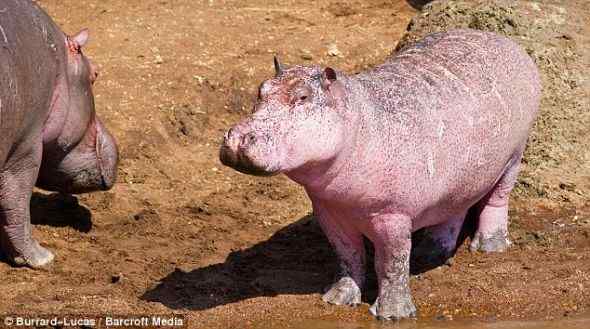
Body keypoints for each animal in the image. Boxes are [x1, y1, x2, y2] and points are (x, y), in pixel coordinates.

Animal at [221, 29, 540, 320]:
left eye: (302, 96)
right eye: (261, 89)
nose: (238, 137)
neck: (358, 120)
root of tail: (509, 43)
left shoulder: (393, 214)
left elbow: (391, 263)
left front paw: (393, 315)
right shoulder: (329, 211)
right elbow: (348, 256)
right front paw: (336, 299)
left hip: (514, 156)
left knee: (497, 200)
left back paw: (489, 247)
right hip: (460, 179)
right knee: (454, 210)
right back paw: (430, 253)